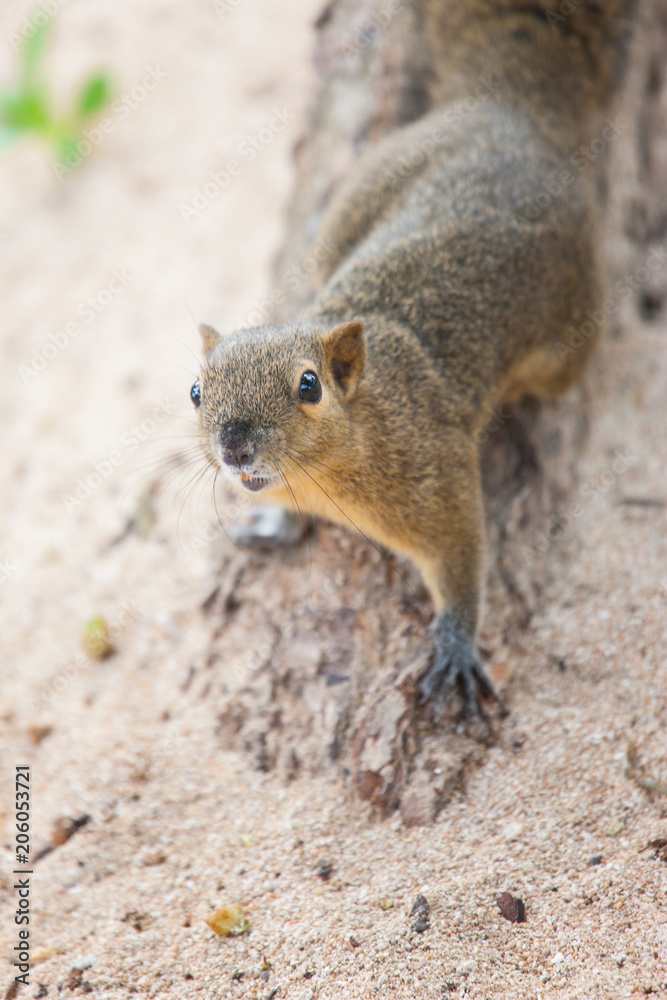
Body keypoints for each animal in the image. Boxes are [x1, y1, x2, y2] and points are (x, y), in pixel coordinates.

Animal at [191, 0, 636, 717]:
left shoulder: (438, 477)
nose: (234, 447)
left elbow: (462, 559)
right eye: (196, 393)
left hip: (568, 342)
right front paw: (276, 524)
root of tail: (507, 111)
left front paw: (455, 643)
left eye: (309, 386)